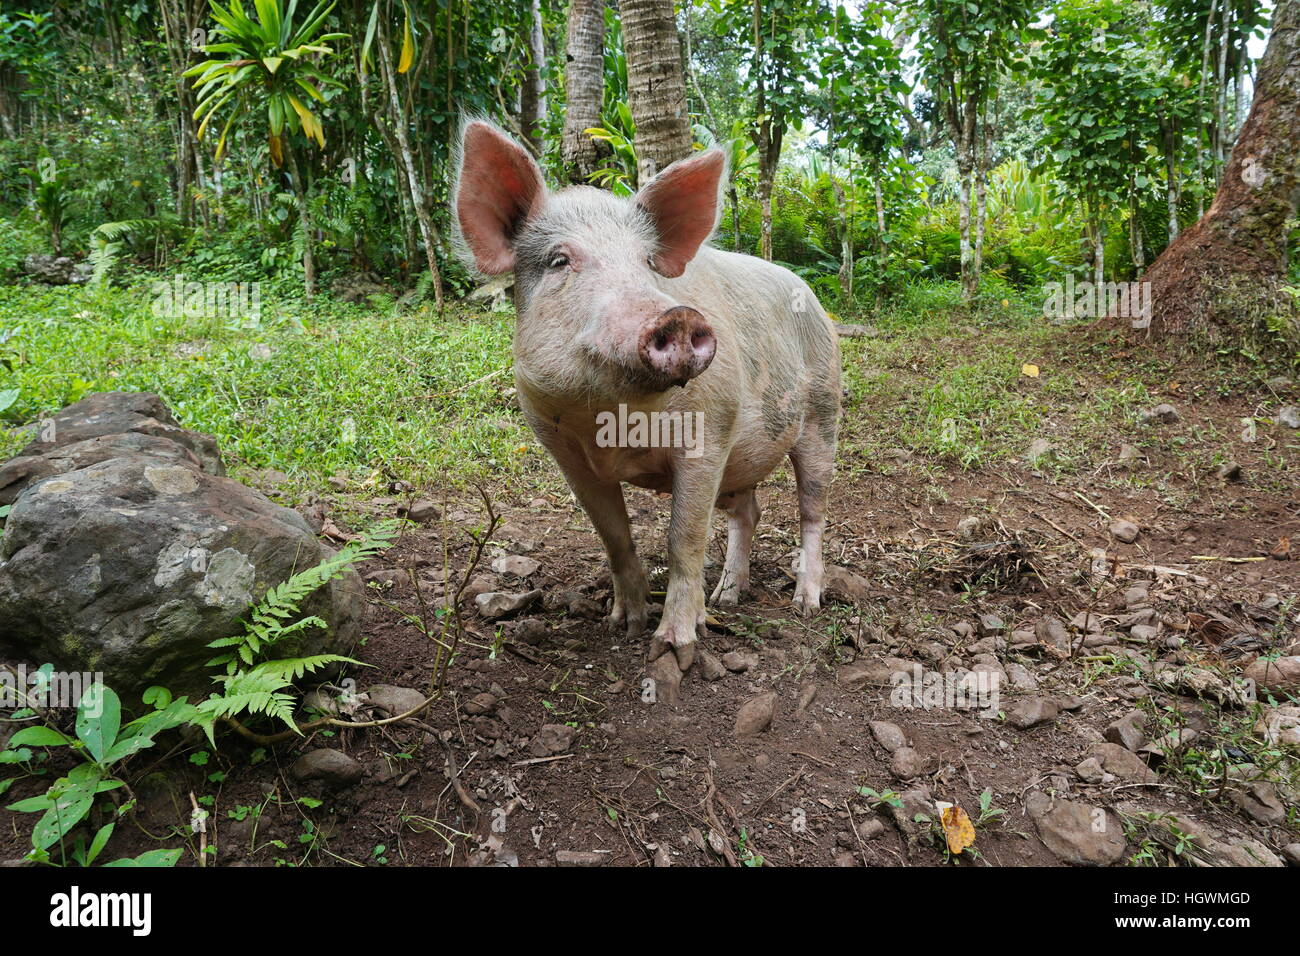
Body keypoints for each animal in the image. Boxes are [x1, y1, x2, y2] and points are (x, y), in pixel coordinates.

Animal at [454, 120, 840, 671]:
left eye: (646, 265)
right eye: (559, 260)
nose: (676, 315)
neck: (613, 422)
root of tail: (809, 292)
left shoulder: (710, 433)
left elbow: (685, 539)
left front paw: (674, 648)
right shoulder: (564, 453)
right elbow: (614, 535)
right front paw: (624, 623)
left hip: (824, 410)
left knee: (813, 509)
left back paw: (805, 604)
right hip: (746, 456)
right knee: (748, 512)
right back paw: (727, 597)